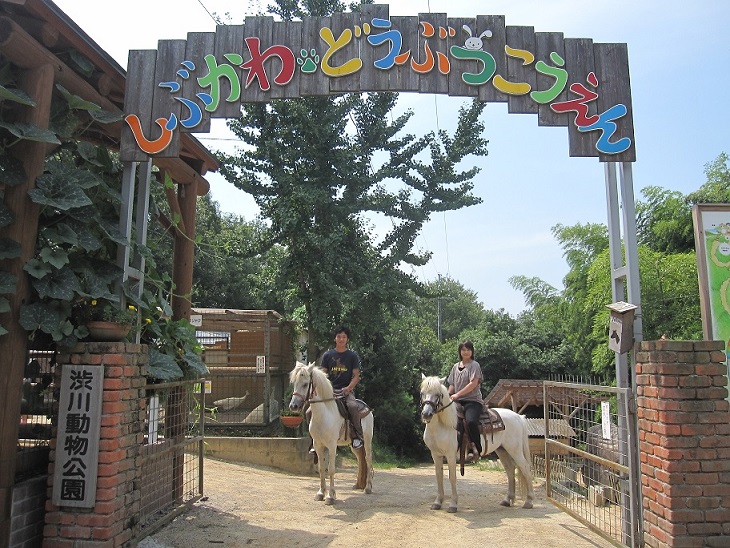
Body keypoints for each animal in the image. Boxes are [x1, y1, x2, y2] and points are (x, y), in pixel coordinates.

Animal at [288, 362, 372, 504]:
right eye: (294, 382)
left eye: (305, 384)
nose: (293, 406)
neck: (324, 414)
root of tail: (367, 407)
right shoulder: (318, 445)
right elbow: (322, 469)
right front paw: (321, 493)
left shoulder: (332, 446)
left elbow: (331, 470)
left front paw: (331, 496)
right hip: (354, 446)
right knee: (361, 460)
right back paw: (358, 485)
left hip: (367, 440)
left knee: (368, 459)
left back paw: (368, 488)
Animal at [418, 374, 532, 512]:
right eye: (422, 393)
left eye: (438, 394)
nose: (426, 414)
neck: (443, 425)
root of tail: (518, 417)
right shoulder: (435, 454)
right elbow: (439, 476)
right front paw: (437, 502)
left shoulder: (450, 455)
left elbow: (452, 477)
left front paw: (453, 505)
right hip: (502, 450)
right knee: (510, 470)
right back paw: (507, 500)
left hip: (515, 450)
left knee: (525, 468)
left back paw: (528, 501)